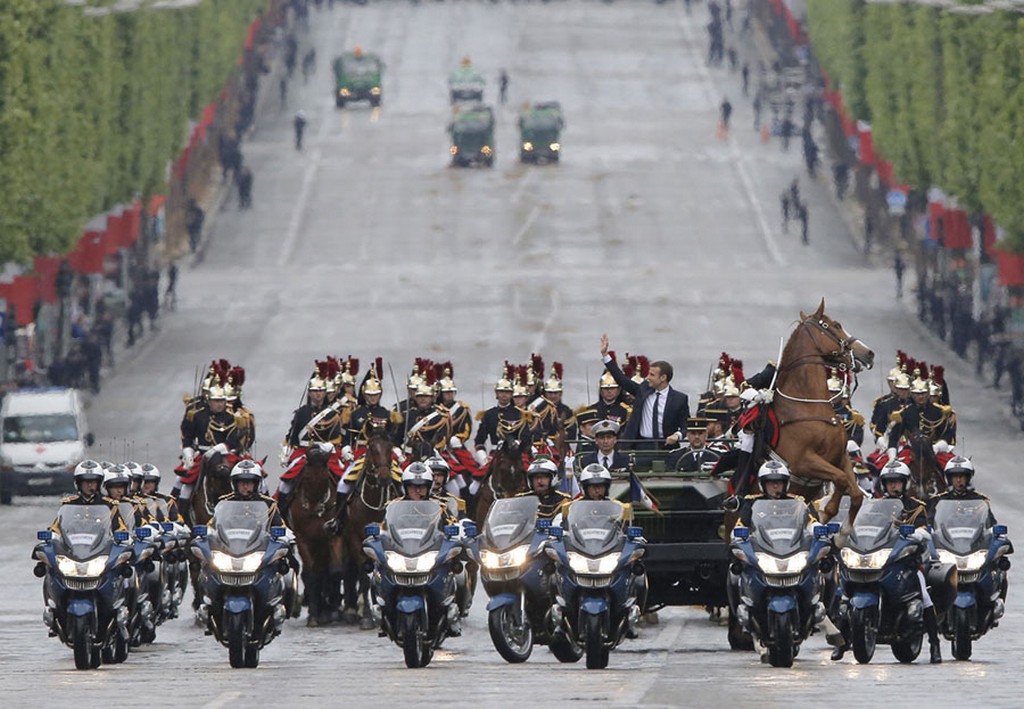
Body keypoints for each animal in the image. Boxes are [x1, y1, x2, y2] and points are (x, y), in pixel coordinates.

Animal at [290, 448, 346, 627]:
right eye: (306, 477)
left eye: (325, 477)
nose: (315, 508)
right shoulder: (303, 540)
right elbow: (311, 574)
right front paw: (314, 614)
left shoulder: (333, 536)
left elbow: (335, 571)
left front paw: (333, 610)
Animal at [339, 432, 395, 627]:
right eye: (371, 448)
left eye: (390, 447)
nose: (384, 478)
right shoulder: (355, 541)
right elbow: (363, 577)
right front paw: (366, 616)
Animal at [770, 299, 876, 524]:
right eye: (836, 325)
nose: (869, 353)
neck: (807, 404)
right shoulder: (803, 462)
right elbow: (842, 480)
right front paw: (825, 512)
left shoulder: (839, 457)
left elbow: (855, 492)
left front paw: (842, 530)